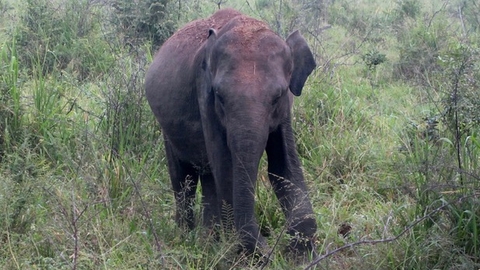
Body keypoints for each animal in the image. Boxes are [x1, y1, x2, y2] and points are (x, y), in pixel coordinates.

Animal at [146, 8, 318, 258]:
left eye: (277, 96)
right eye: (220, 95)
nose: (271, 250)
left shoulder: (285, 110)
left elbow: (283, 165)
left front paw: (301, 251)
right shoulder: (204, 95)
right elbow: (225, 165)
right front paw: (249, 254)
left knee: (208, 175)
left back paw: (209, 239)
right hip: (167, 129)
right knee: (183, 176)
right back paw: (187, 236)